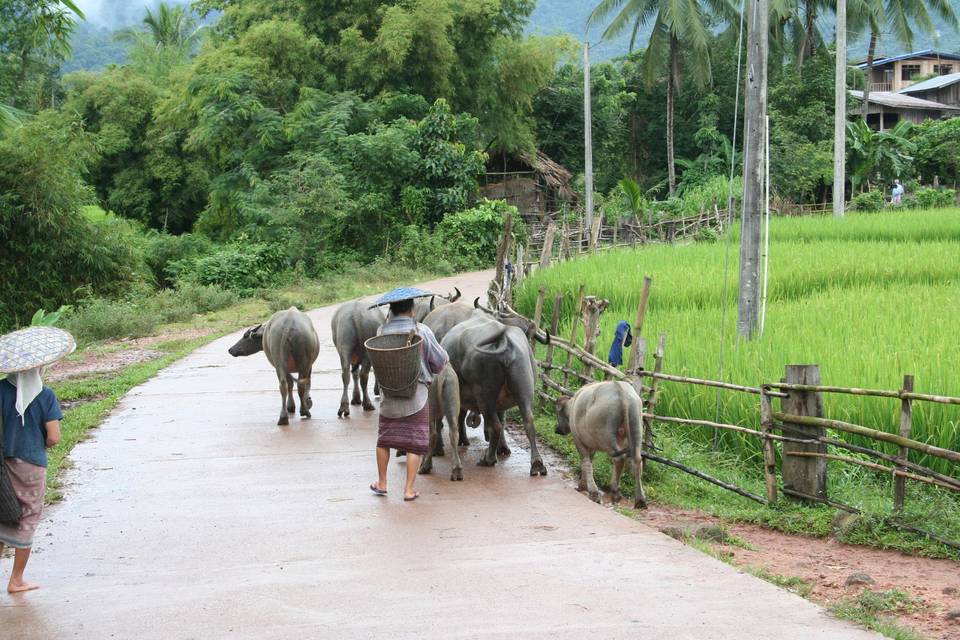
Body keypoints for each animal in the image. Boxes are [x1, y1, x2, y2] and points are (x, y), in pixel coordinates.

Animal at [444, 314, 548, 476]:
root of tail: (505, 341)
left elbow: (461, 416)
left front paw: (463, 440)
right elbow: (503, 419)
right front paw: (503, 448)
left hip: (484, 396)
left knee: (495, 425)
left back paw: (488, 459)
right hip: (524, 389)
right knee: (528, 421)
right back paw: (537, 464)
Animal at [552, 380, 648, 510]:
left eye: (558, 413)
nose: (557, 429)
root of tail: (620, 389)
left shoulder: (578, 441)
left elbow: (586, 462)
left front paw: (590, 490)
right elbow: (590, 460)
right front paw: (583, 484)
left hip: (607, 437)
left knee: (618, 459)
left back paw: (615, 492)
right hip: (636, 429)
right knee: (637, 461)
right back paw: (640, 500)